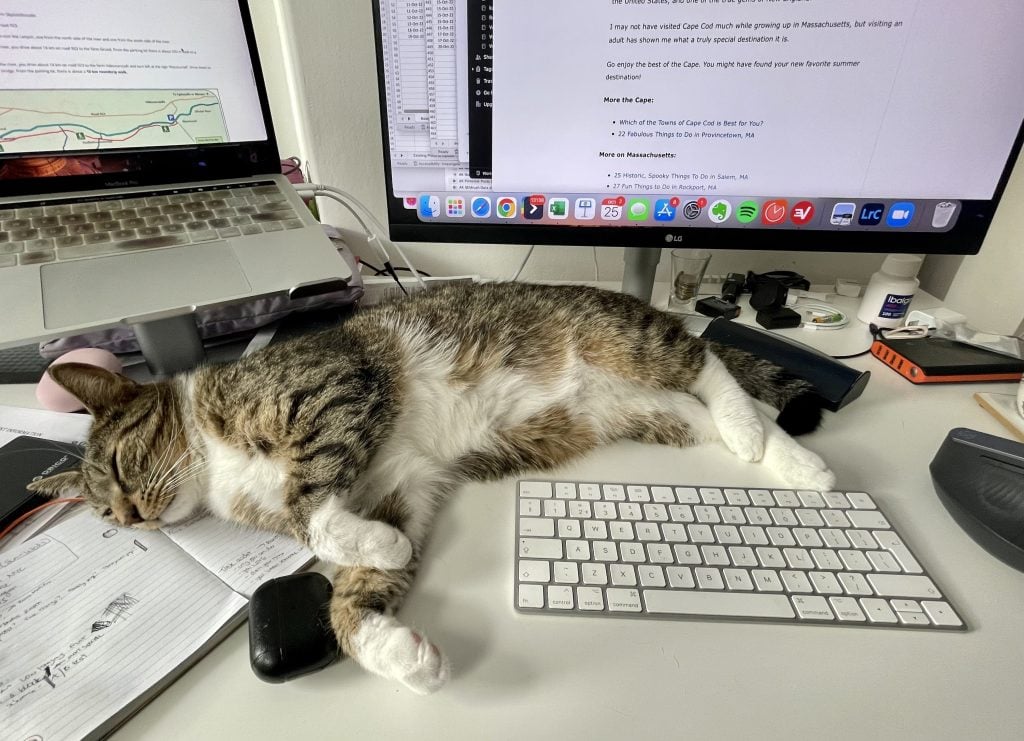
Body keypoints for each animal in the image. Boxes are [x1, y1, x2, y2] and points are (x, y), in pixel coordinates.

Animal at [29, 282, 831, 695]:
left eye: (120, 468)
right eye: (108, 517)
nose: (134, 515)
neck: (217, 464)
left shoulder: (335, 387)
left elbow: (313, 508)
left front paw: (368, 544)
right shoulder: (399, 484)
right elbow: (351, 598)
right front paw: (401, 653)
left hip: (627, 340)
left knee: (706, 363)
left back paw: (765, 437)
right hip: (645, 413)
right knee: (708, 408)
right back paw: (787, 456)